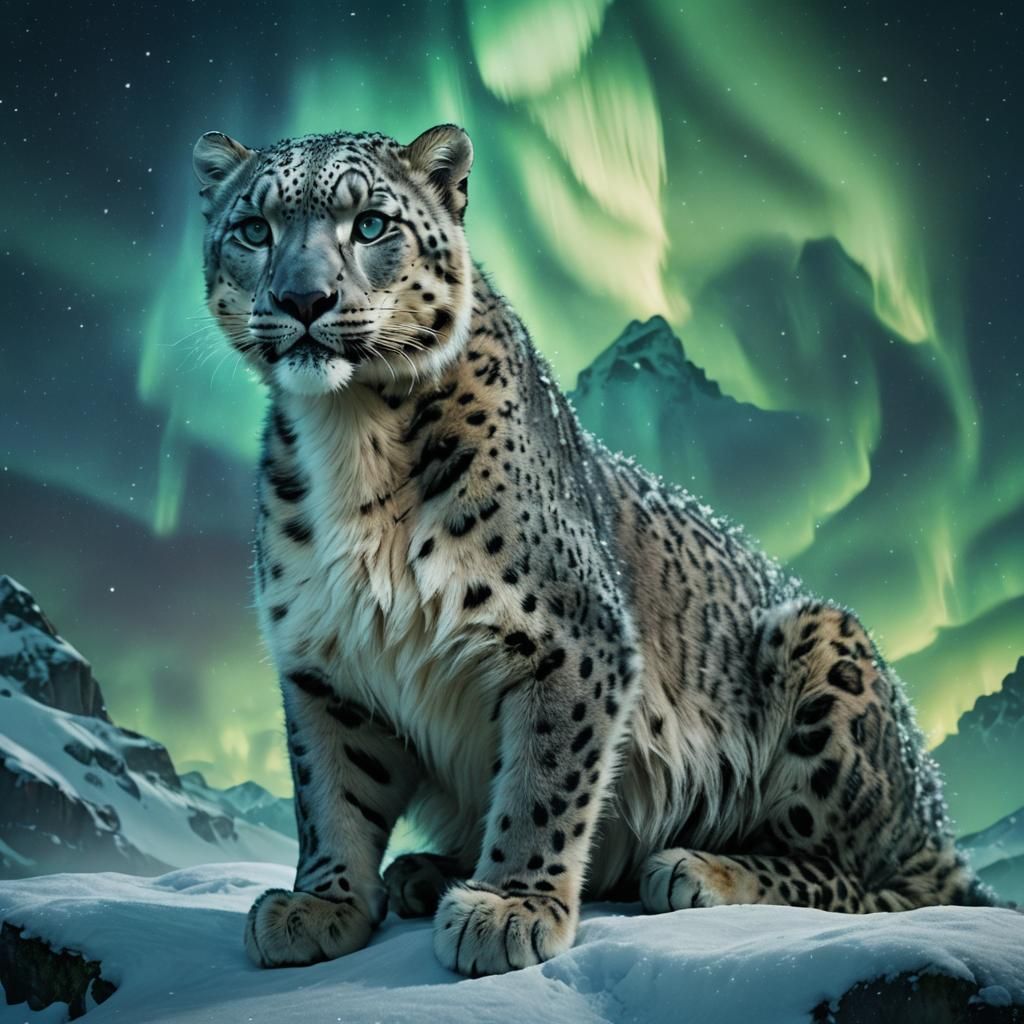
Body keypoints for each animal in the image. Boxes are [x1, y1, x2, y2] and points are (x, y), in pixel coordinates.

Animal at [191, 122, 989, 977]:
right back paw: (423, 870)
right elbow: (331, 789)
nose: (302, 300)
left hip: (827, 653)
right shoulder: (324, 662)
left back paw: (695, 868)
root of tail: (935, 816)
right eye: (253, 228)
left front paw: (509, 907)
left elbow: (543, 781)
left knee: (879, 882)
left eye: (370, 223)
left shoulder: (567, 640)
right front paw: (324, 902)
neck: (350, 432)